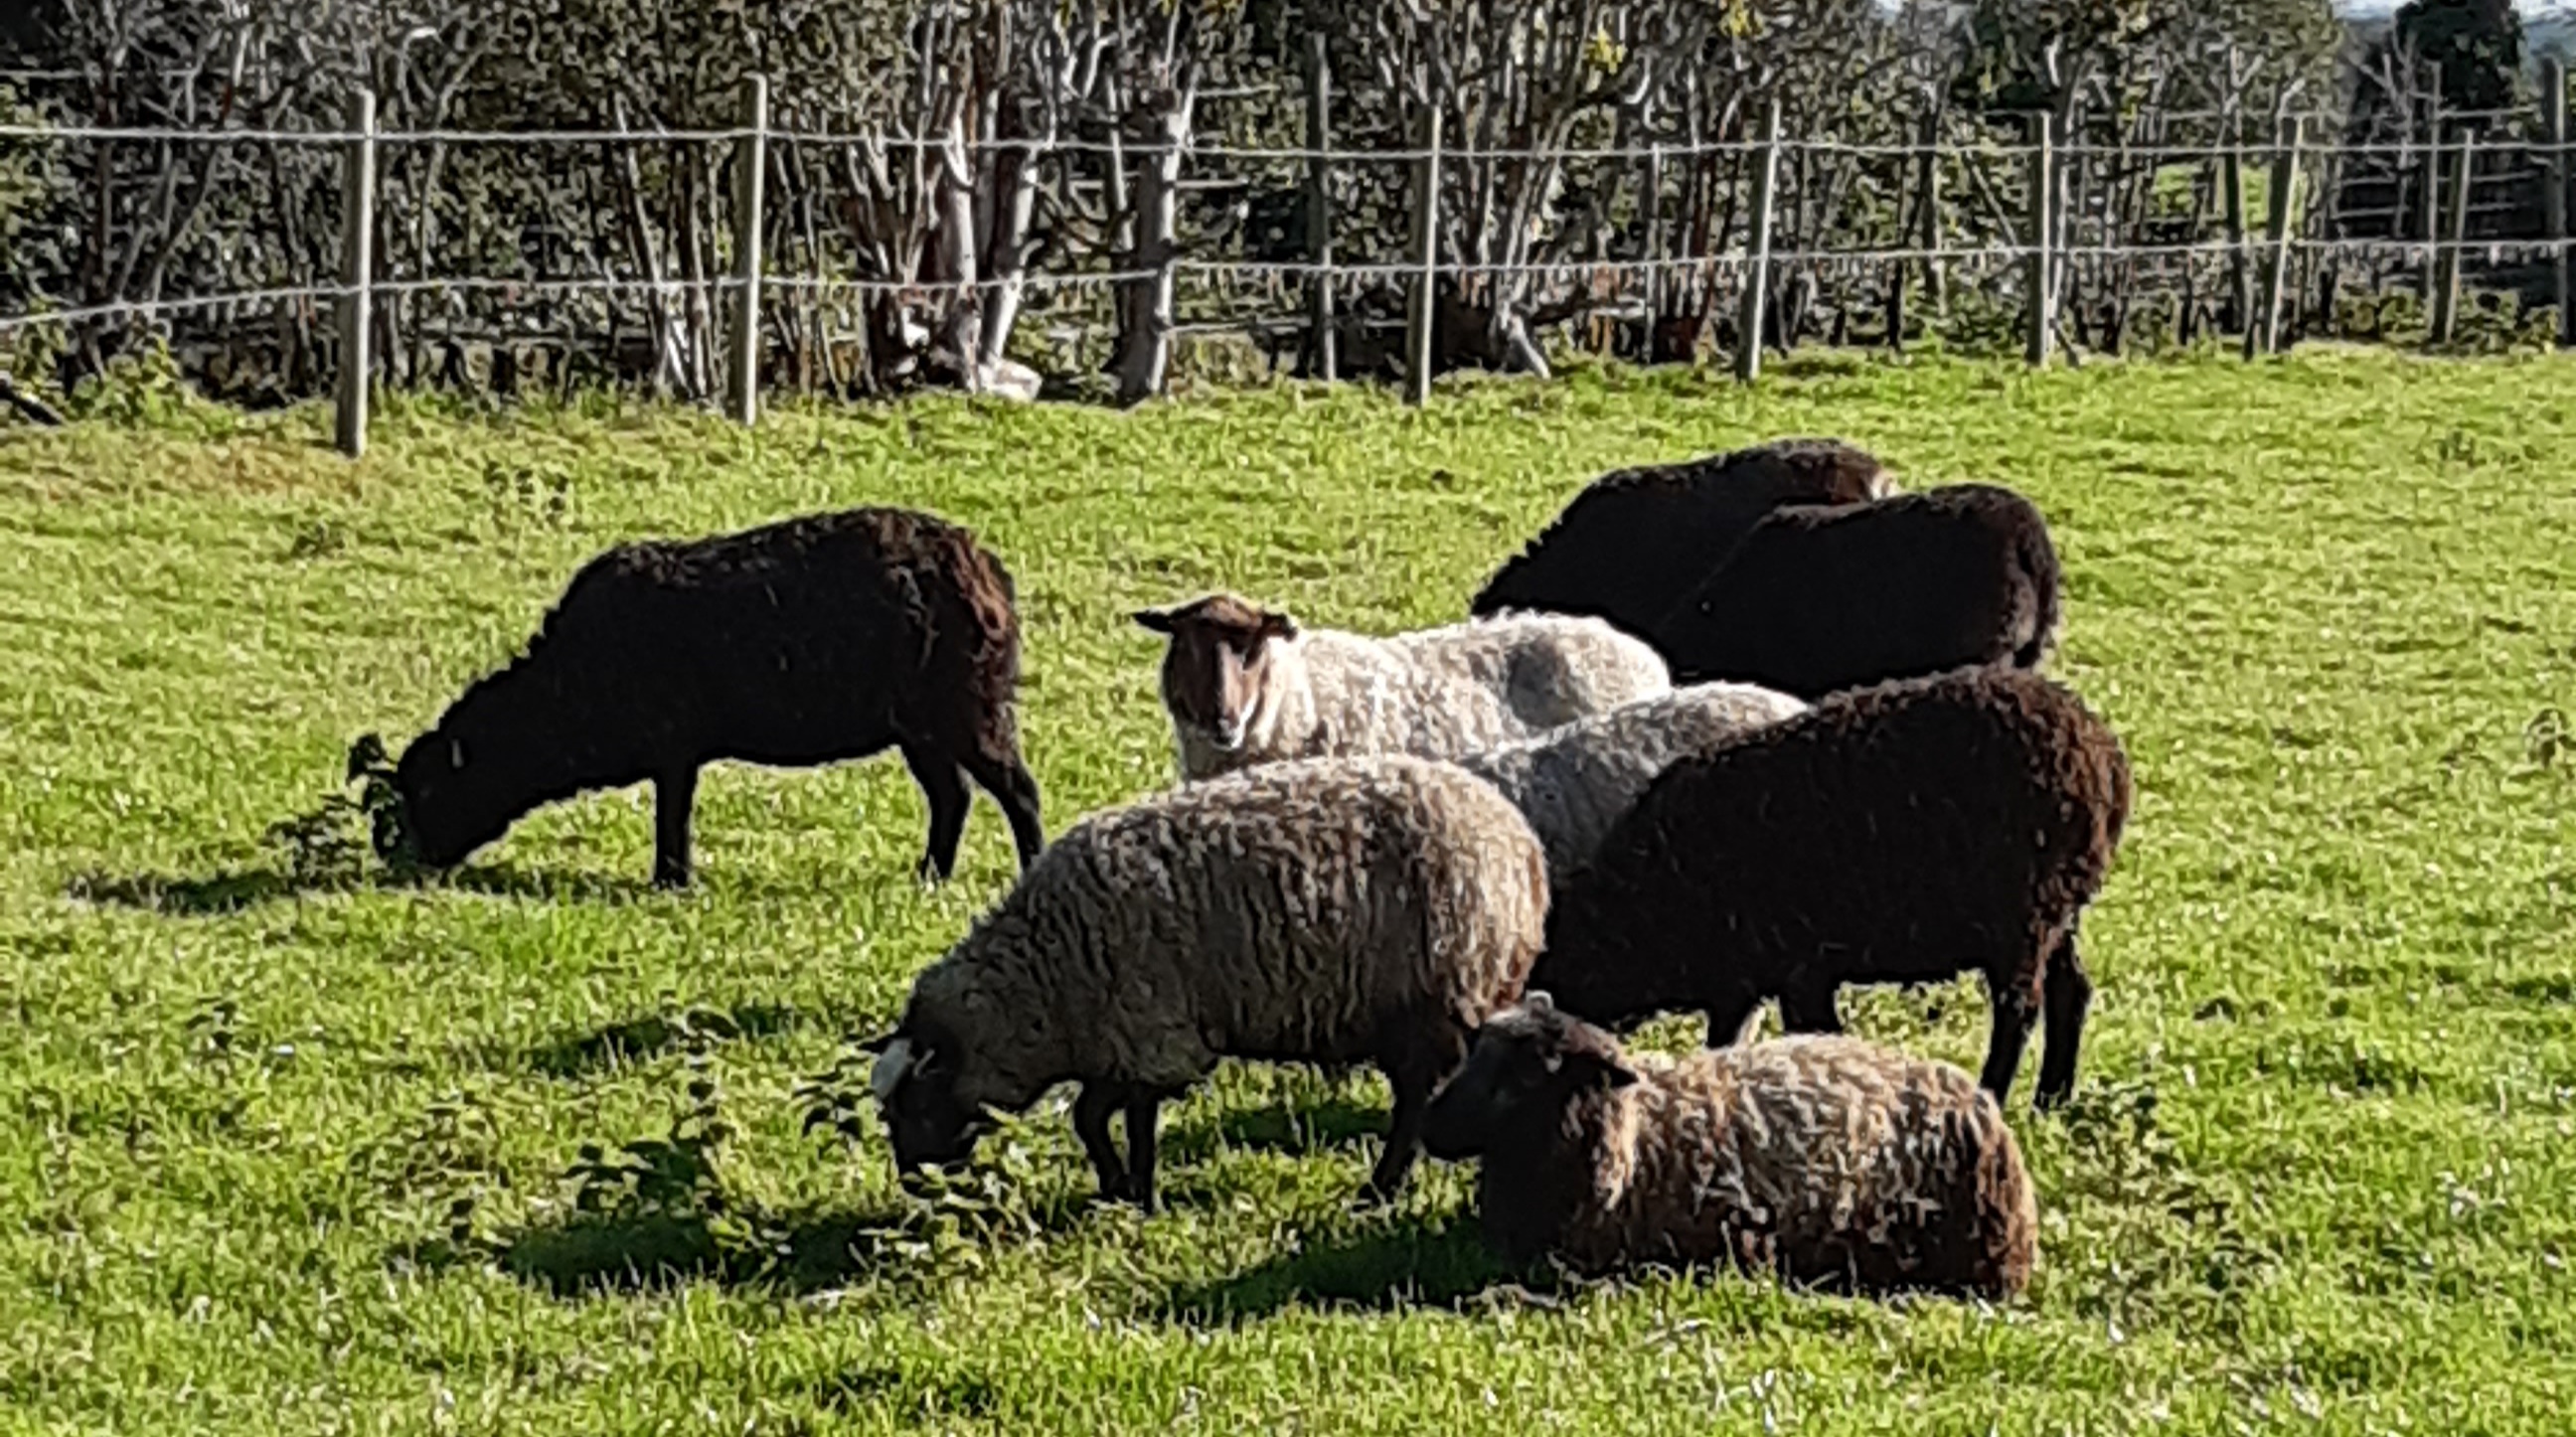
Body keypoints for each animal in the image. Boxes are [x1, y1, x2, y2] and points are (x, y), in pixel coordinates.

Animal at [356, 507, 1044, 889]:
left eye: (431, 792)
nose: (415, 866)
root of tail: (987, 570)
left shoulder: (673, 747)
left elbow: (672, 817)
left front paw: (671, 881)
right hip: (921, 725)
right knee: (953, 796)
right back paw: (930, 876)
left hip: (967, 708)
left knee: (1018, 791)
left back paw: (1027, 866)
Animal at [865, 753, 1548, 1211]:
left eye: (914, 1102)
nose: (913, 1187)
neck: (1045, 984)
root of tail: (1521, 845)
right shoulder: (1119, 1042)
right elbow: (1092, 1117)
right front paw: (1120, 1188)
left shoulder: (1152, 1034)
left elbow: (1121, 1121)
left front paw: (1137, 1196)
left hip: (1433, 1003)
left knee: (1412, 1109)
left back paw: (1378, 1190)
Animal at [1529, 663, 2130, 1110]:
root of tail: (2104, 760)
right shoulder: (1744, 978)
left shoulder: (1798, 968)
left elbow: (1815, 1033)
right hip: (2059, 910)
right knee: (2071, 990)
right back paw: (2052, 1100)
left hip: (2021, 914)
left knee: (2019, 1009)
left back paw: (1995, 1095)